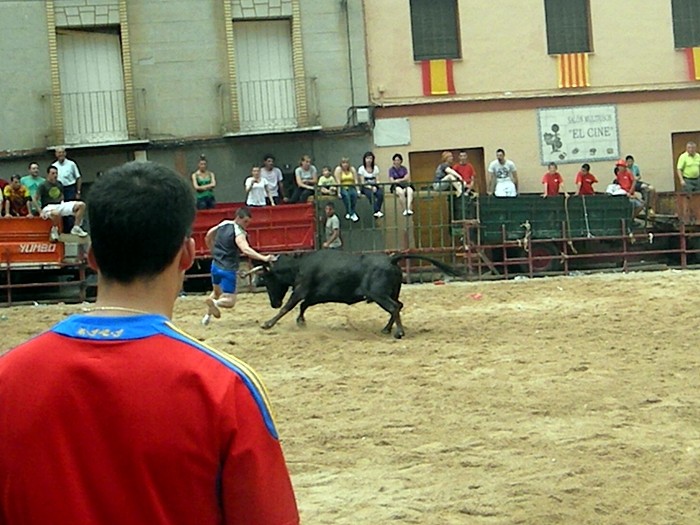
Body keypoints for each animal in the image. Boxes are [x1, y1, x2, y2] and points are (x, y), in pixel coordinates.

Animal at [252, 251, 460, 340]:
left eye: (267, 280)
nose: (273, 303)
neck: (298, 266)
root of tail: (391, 259)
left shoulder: (300, 289)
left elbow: (290, 306)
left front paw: (268, 324)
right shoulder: (316, 294)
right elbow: (304, 305)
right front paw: (301, 322)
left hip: (378, 294)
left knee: (393, 307)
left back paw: (398, 333)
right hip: (391, 292)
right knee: (398, 306)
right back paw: (386, 329)